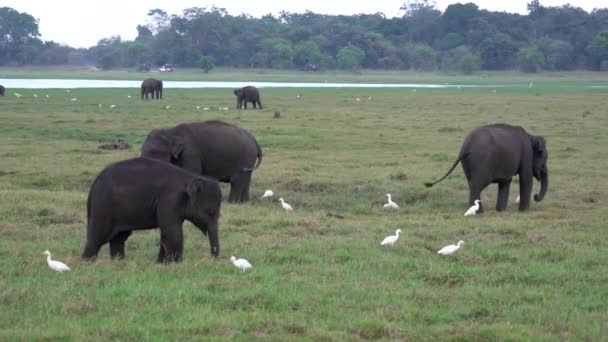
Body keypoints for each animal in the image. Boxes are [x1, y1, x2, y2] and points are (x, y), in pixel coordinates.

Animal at [82, 156, 222, 264]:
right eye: (210, 212)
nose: (212, 259)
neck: (190, 178)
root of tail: (93, 187)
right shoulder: (170, 199)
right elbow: (173, 232)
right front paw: (174, 263)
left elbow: (167, 233)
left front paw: (161, 263)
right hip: (103, 207)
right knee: (97, 237)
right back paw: (87, 262)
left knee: (119, 238)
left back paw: (118, 262)